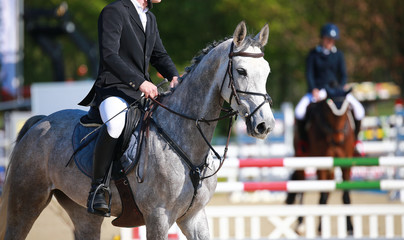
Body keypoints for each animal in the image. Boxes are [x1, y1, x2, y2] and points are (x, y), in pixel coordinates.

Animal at [0, 21, 274, 239]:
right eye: (241, 71)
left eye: (267, 72)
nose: (265, 125)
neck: (184, 138)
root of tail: (40, 122)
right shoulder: (158, 217)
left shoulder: (194, 217)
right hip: (25, 203)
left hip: (83, 213)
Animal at [288, 89, 354, 234]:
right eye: (329, 111)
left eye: (347, 110)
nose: (338, 139)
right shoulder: (322, 163)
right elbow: (322, 195)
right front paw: (321, 228)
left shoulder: (345, 163)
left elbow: (346, 195)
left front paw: (350, 227)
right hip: (301, 160)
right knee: (301, 190)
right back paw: (301, 224)